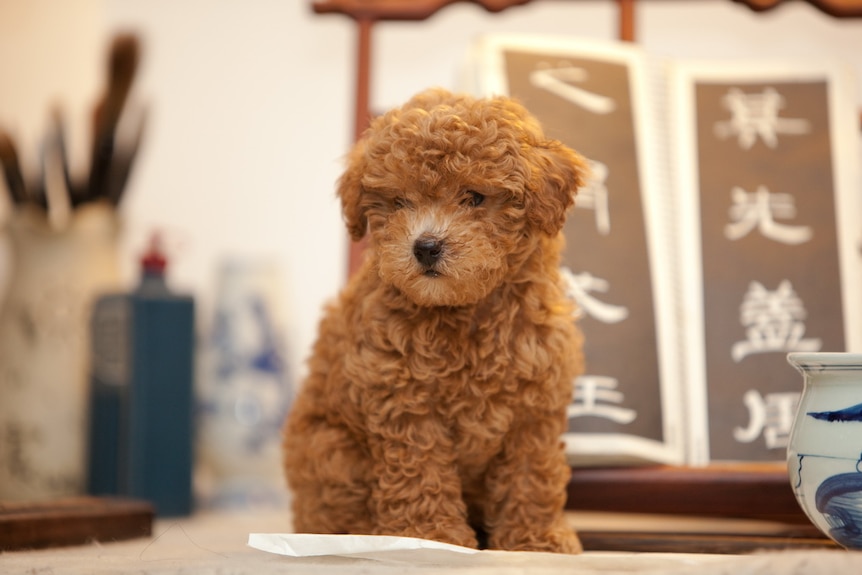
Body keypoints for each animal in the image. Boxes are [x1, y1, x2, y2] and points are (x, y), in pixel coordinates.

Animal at [284, 89, 588, 552]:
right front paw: (429, 536)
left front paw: (536, 539)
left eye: (475, 197)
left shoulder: (536, 400)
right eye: (399, 202)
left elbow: (532, 473)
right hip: (330, 449)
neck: (466, 313)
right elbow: (420, 471)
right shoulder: (403, 399)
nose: (425, 246)